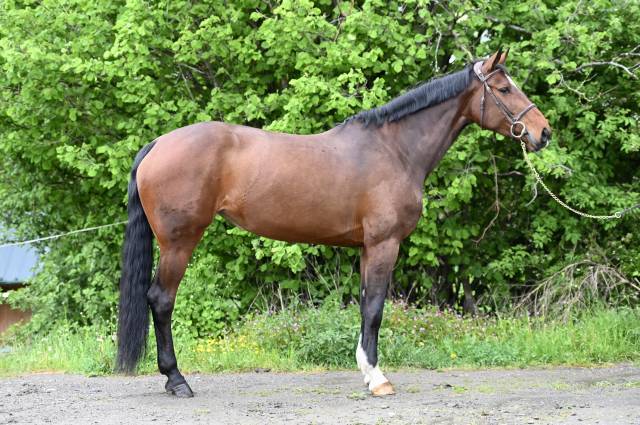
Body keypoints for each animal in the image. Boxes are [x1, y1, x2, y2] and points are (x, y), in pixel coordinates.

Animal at [116, 48, 551, 397]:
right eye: (505, 89)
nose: (542, 132)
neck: (394, 149)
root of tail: (158, 144)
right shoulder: (384, 243)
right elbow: (375, 309)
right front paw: (378, 380)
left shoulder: (366, 248)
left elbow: (364, 307)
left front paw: (367, 371)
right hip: (180, 241)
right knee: (161, 299)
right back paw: (177, 381)